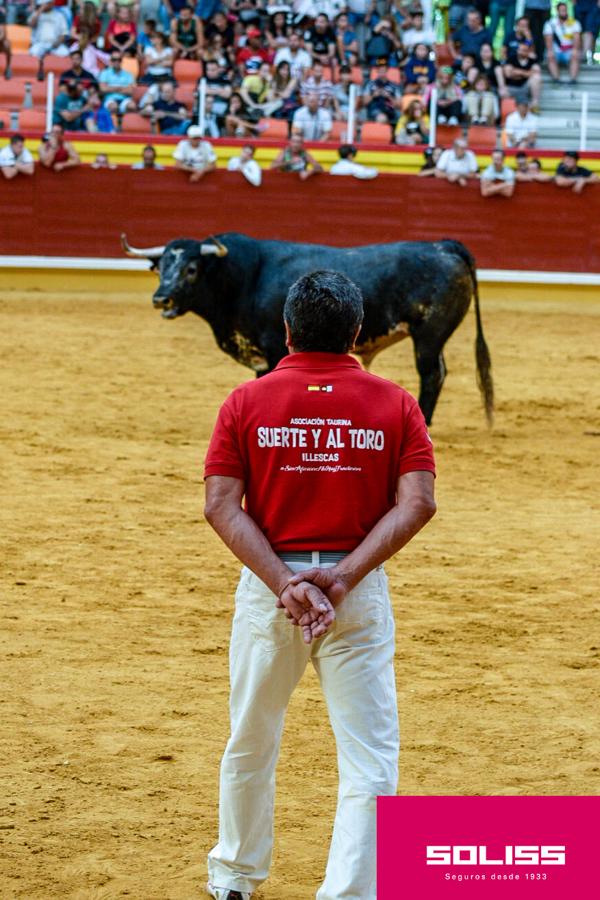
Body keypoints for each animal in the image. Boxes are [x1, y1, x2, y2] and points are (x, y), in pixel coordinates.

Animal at [122, 234, 492, 428]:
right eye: (161, 268)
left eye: (192, 268)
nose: (161, 298)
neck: (243, 277)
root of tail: (442, 245)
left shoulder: (274, 348)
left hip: (429, 334)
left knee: (431, 374)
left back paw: (425, 422)